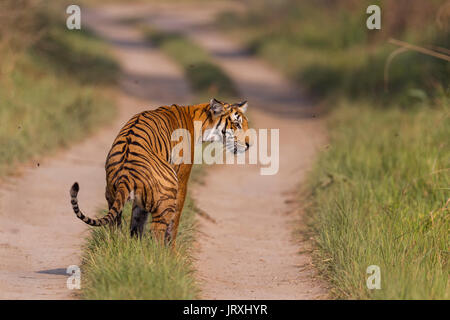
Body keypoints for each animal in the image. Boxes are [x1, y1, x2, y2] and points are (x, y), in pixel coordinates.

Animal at [70, 99, 250, 246]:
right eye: (237, 124)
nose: (249, 145)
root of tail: (126, 172)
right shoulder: (182, 179)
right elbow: (174, 223)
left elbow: (137, 224)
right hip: (167, 196)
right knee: (158, 232)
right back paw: (162, 257)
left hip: (114, 196)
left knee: (119, 227)